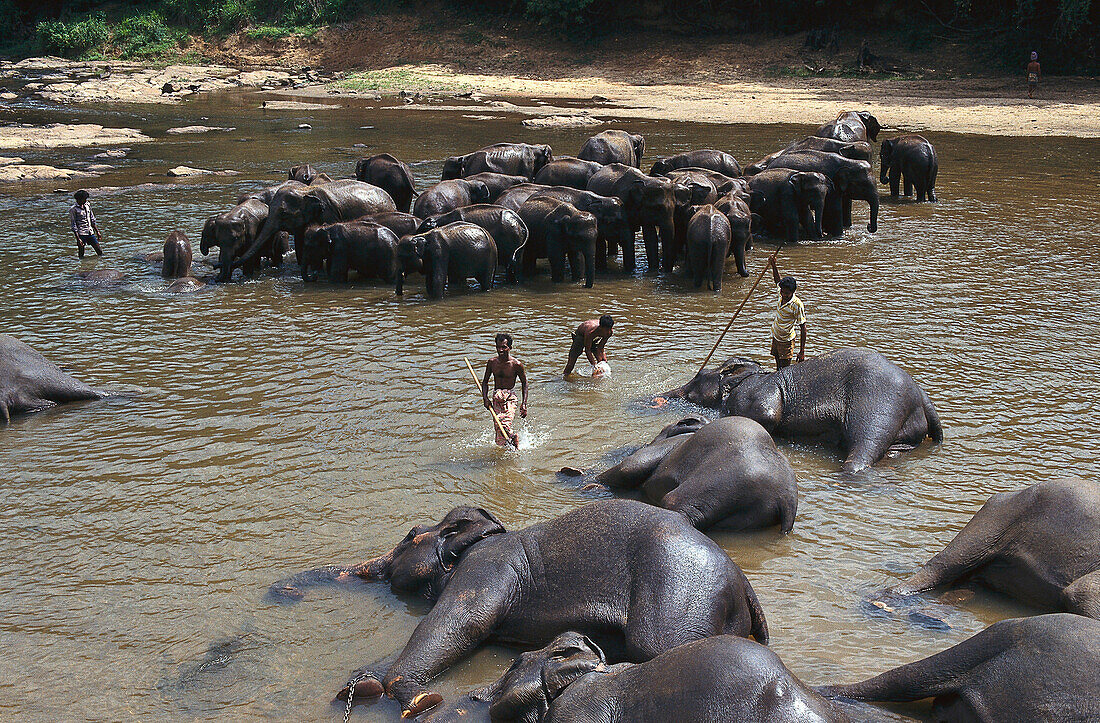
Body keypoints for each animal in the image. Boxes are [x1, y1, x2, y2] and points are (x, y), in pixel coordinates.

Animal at [268, 499, 765, 717]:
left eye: (409, 536)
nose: (283, 592)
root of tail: (742, 581)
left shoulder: (486, 568)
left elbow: (460, 624)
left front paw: (415, 699)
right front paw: (363, 683)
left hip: (681, 596)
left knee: (655, 647)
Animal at [589, 413, 796, 532]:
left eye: (664, 429)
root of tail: (786, 501)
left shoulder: (665, 447)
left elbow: (629, 467)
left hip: (720, 482)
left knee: (675, 503)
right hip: (752, 513)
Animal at [655, 349, 941, 473]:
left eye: (697, 377)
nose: (660, 399)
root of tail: (923, 397)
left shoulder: (755, 391)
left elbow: (767, 415)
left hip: (879, 400)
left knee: (864, 446)